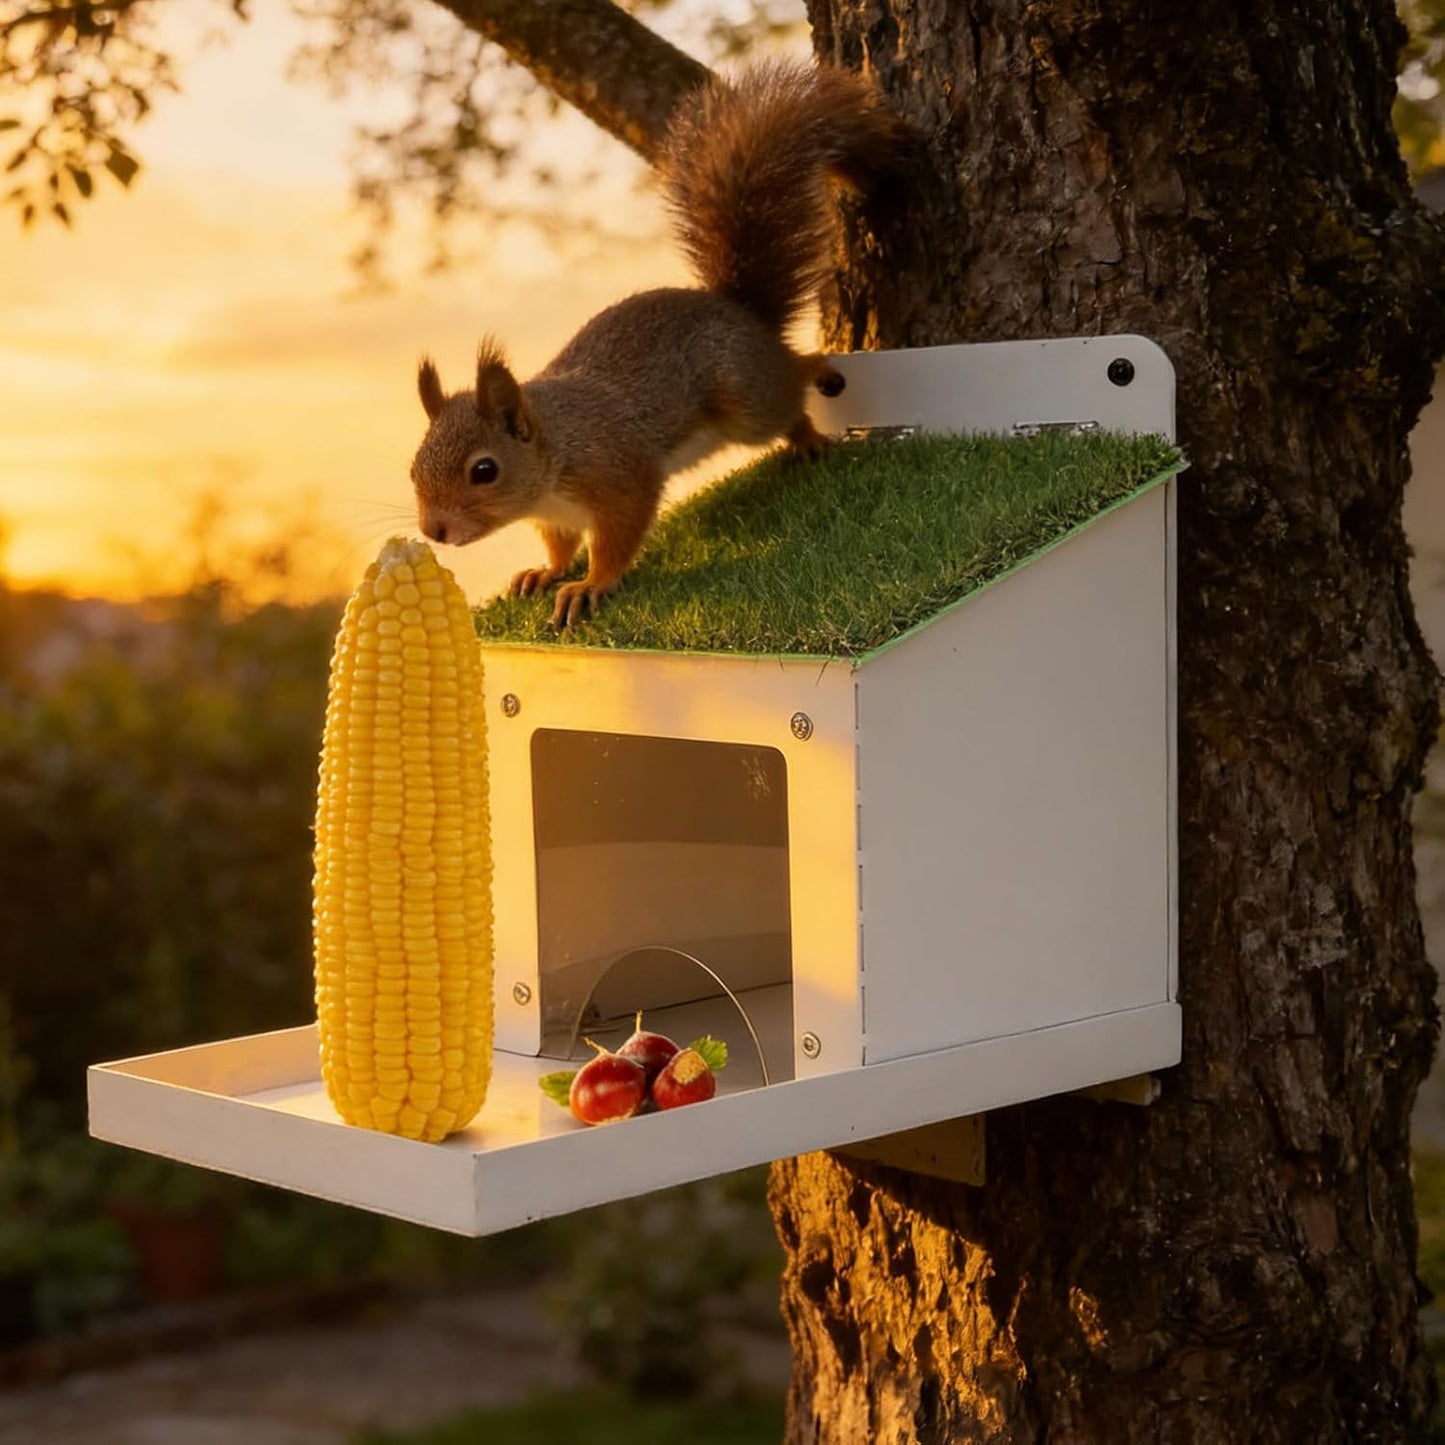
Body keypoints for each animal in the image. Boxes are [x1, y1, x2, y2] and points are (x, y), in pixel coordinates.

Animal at [408, 60, 905, 627]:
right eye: (413, 468)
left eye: (484, 471)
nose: (433, 530)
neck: (555, 450)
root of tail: (742, 313)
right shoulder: (557, 516)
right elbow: (559, 545)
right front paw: (545, 572)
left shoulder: (620, 476)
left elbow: (619, 535)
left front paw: (590, 585)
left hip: (746, 398)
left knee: (790, 385)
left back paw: (808, 418)